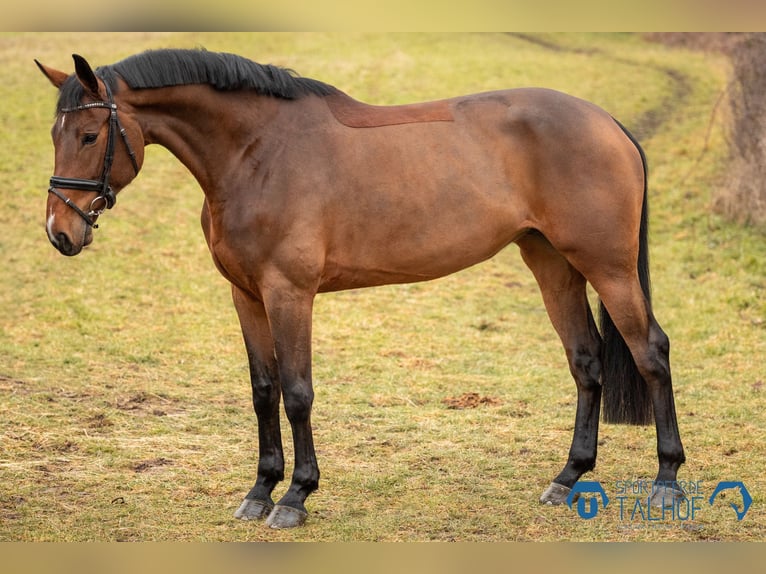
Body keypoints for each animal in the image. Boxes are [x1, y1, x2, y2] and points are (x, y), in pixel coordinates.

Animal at [36, 49, 688, 532]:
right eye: (55, 133)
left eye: (90, 134)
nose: (60, 232)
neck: (258, 152)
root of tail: (607, 123)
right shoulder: (245, 295)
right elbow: (263, 390)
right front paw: (260, 490)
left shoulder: (289, 293)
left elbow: (297, 393)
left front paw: (295, 497)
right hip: (551, 262)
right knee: (586, 360)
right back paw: (568, 477)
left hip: (607, 267)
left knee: (650, 353)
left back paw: (666, 481)